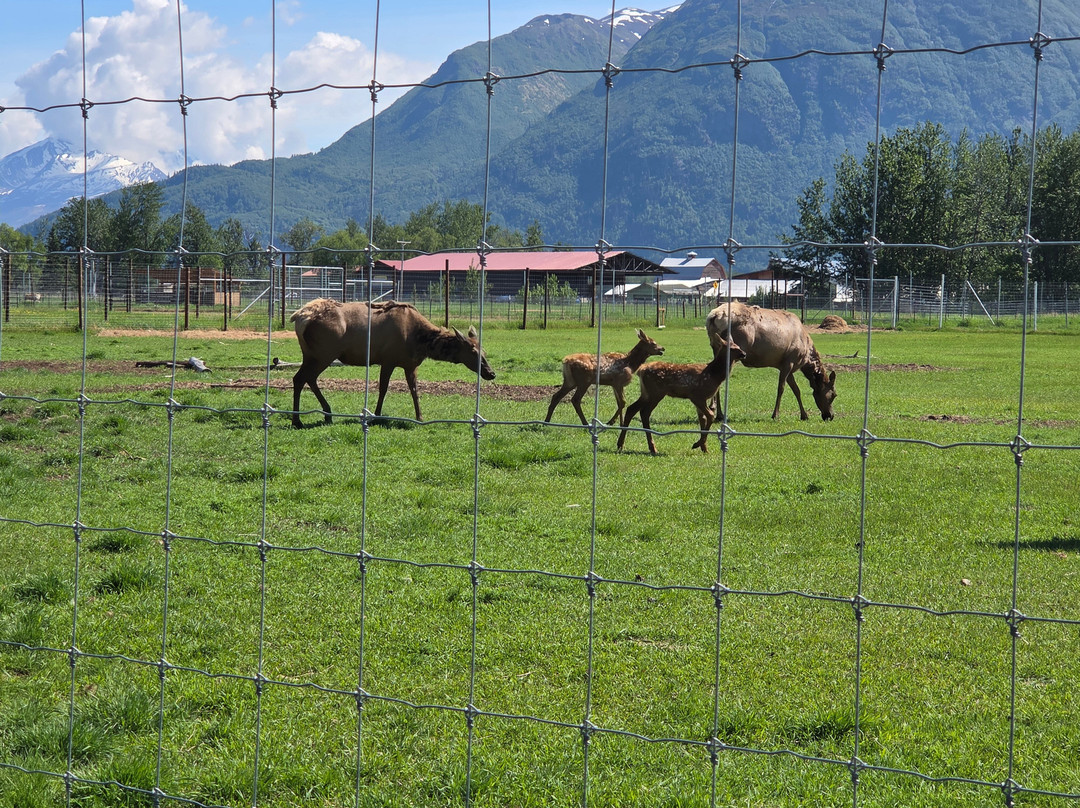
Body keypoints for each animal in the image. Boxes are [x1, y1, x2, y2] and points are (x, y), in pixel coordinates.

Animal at [290, 298, 495, 427]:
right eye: (473, 351)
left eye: (484, 350)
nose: (491, 373)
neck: (420, 343)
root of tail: (299, 318)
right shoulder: (388, 360)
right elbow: (383, 388)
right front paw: (376, 415)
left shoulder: (410, 364)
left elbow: (414, 390)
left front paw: (420, 417)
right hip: (324, 353)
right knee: (301, 378)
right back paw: (297, 420)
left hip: (312, 354)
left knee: (306, 378)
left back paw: (326, 413)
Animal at [616, 341, 746, 455]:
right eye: (732, 348)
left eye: (738, 345)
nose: (744, 354)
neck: (714, 375)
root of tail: (641, 370)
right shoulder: (696, 395)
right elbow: (710, 415)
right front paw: (697, 444)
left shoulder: (701, 399)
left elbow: (703, 419)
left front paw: (704, 448)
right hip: (656, 393)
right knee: (644, 412)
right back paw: (652, 448)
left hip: (646, 393)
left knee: (632, 409)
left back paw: (621, 444)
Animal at [705, 301, 836, 421]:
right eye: (834, 395)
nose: (830, 416)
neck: (806, 357)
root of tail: (713, 317)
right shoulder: (789, 362)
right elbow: (781, 388)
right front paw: (775, 415)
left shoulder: (785, 366)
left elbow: (796, 390)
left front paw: (804, 415)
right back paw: (719, 414)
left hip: (715, 347)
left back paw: (717, 412)